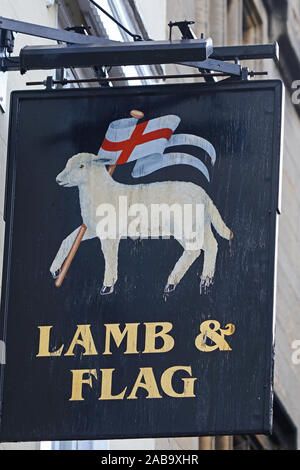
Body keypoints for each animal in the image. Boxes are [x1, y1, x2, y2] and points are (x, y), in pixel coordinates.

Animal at [50, 153, 233, 294]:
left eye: (81, 166)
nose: (58, 180)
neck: (101, 192)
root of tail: (205, 196)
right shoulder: (92, 229)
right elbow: (68, 239)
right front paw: (55, 270)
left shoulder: (109, 234)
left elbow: (109, 256)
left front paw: (107, 286)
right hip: (200, 225)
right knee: (211, 246)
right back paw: (205, 281)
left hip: (185, 226)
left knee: (194, 250)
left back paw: (171, 283)